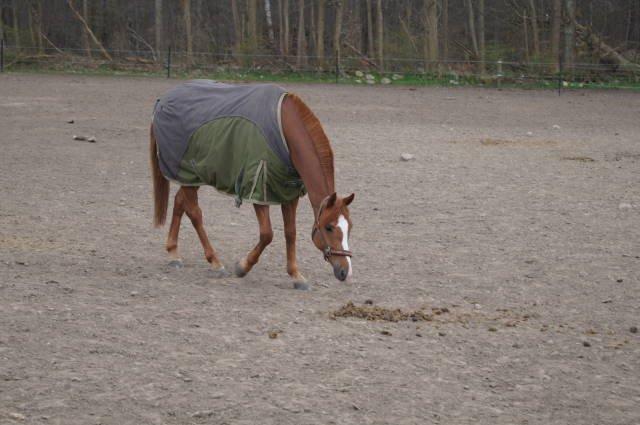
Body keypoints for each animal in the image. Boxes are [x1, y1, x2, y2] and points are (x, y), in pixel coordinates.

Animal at [150, 79, 356, 286]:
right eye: (329, 227)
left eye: (350, 226)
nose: (345, 272)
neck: (284, 132)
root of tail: (162, 100)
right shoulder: (258, 192)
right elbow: (267, 234)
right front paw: (242, 267)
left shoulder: (289, 194)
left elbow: (290, 232)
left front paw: (296, 275)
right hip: (187, 175)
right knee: (195, 213)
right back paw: (215, 262)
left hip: (192, 178)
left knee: (179, 202)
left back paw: (174, 254)